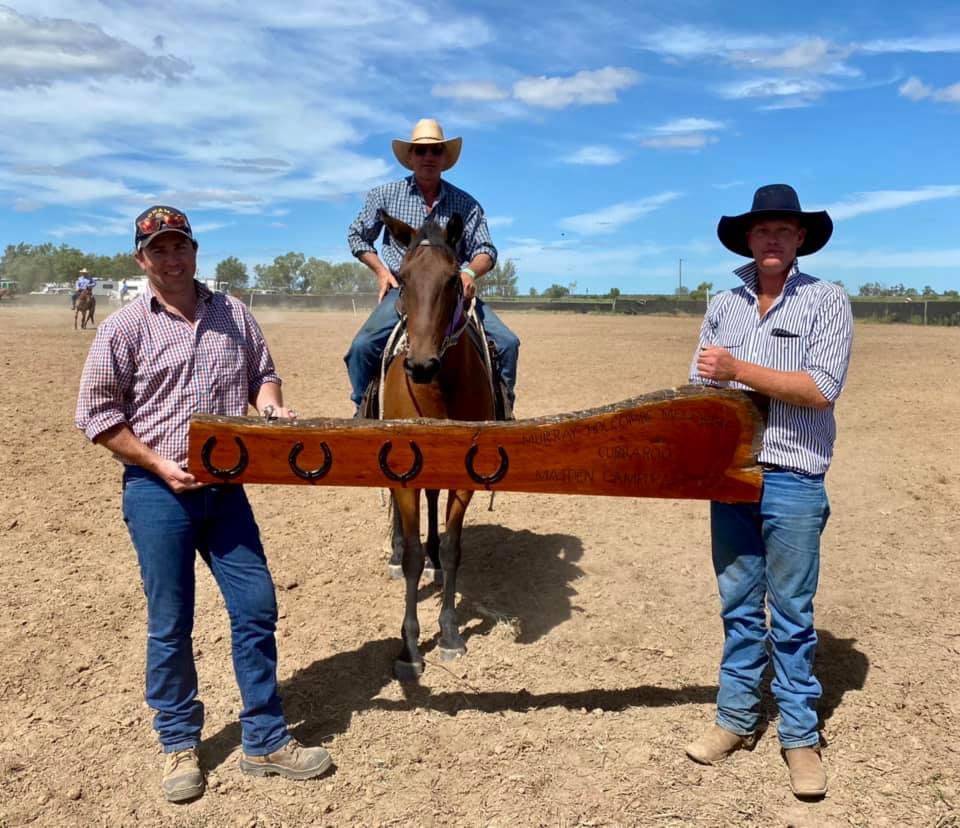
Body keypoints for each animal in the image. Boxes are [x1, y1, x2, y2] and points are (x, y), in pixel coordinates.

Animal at [376, 211, 496, 681]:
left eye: (451, 280)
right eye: (403, 278)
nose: (421, 366)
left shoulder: (464, 477)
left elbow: (453, 546)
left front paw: (448, 634)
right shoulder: (401, 475)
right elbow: (410, 555)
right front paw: (409, 648)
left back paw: (436, 564)